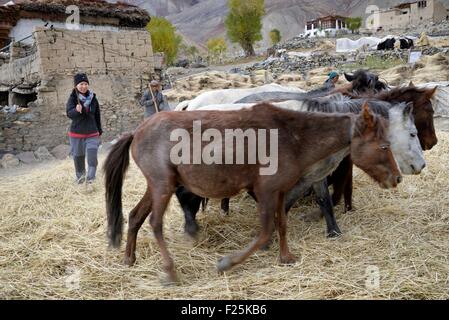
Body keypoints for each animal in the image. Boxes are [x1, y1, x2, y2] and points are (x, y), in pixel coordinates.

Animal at [103, 102, 400, 282]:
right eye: (384, 146)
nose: (397, 178)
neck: (292, 137)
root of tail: (137, 131)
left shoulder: (278, 191)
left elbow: (282, 225)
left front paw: (286, 257)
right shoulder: (266, 191)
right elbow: (266, 232)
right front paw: (227, 263)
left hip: (157, 186)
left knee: (135, 216)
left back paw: (129, 258)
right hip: (163, 186)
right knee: (155, 223)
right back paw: (170, 271)